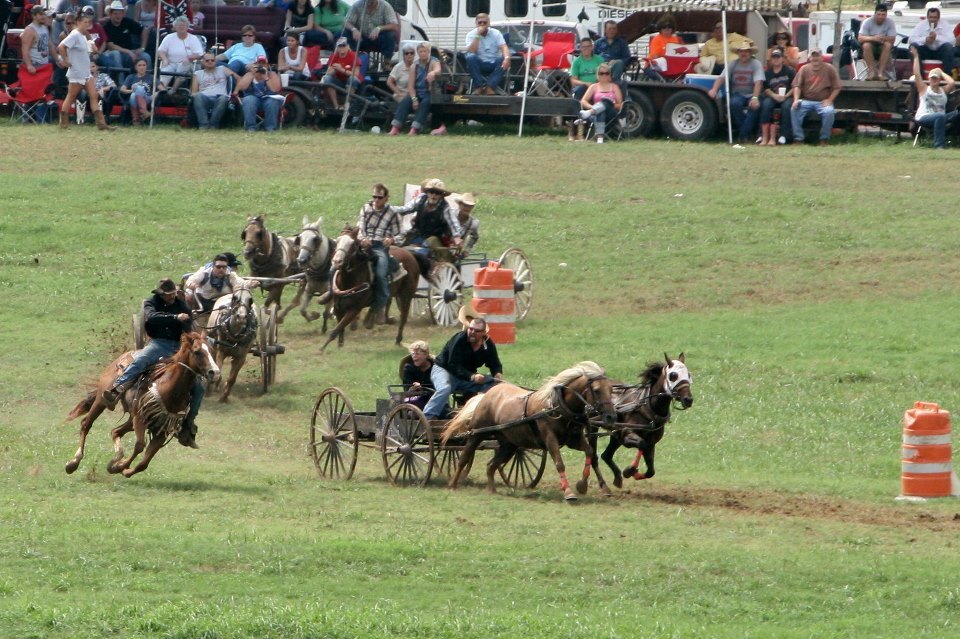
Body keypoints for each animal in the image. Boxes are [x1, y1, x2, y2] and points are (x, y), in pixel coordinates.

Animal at [64, 332, 220, 478]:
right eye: (197, 351)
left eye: (212, 351)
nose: (215, 373)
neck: (169, 388)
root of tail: (122, 358)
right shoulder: (140, 419)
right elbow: (139, 446)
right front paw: (119, 467)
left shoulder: (162, 428)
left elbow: (143, 463)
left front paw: (121, 468)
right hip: (102, 401)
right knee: (86, 424)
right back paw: (73, 463)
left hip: (131, 419)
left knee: (115, 431)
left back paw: (116, 457)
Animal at [440, 362, 616, 502]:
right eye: (597, 390)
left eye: (611, 389)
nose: (611, 416)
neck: (557, 406)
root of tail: (486, 395)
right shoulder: (550, 439)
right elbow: (560, 463)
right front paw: (568, 492)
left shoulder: (574, 440)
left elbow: (590, 452)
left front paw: (584, 485)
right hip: (477, 434)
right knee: (464, 458)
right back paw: (452, 485)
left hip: (508, 445)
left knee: (491, 465)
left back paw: (492, 489)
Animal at [588, 356, 692, 496]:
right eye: (673, 375)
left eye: (689, 374)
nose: (688, 399)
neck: (647, 406)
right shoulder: (627, 435)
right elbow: (641, 444)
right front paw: (630, 470)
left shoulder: (651, 442)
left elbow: (651, 471)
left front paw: (634, 474)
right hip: (593, 428)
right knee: (594, 457)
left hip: (615, 435)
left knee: (606, 455)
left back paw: (617, 478)